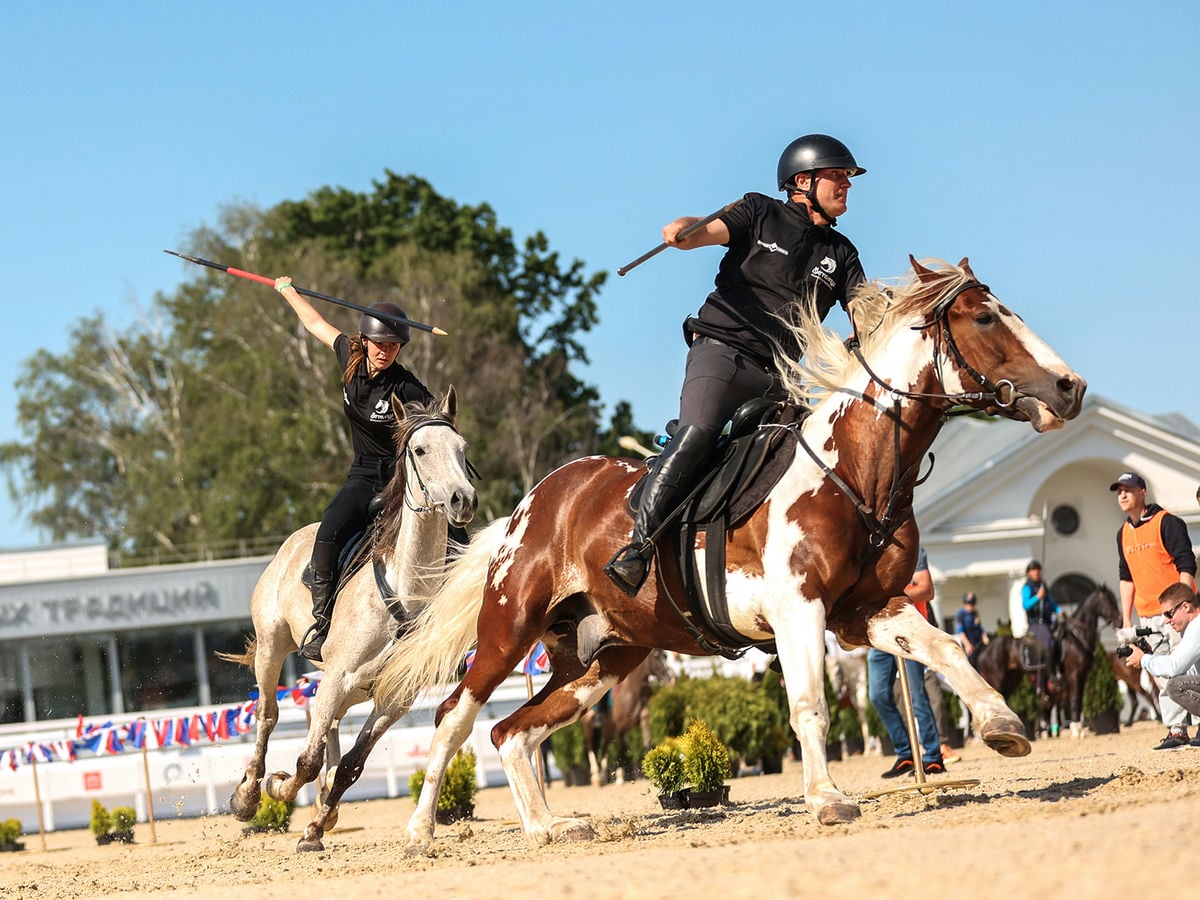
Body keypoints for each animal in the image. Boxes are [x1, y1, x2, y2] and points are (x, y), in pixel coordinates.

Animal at [376, 259, 1089, 854]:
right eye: (984, 317)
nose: (1071, 386)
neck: (850, 469)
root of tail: (528, 510)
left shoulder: (865, 611)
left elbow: (946, 649)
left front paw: (1001, 721)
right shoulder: (801, 610)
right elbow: (809, 705)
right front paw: (827, 798)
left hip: (601, 660)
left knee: (513, 732)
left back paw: (548, 825)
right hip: (507, 632)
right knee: (455, 717)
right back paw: (420, 833)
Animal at [979, 585, 1118, 739]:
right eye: (1107, 600)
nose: (1120, 620)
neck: (1077, 637)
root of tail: (985, 649)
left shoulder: (1082, 676)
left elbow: (1079, 701)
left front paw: (1079, 729)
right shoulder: (1074, 675)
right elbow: (1075, 700)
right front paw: (1076, 731)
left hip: (1011, 680)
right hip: (996, 680)